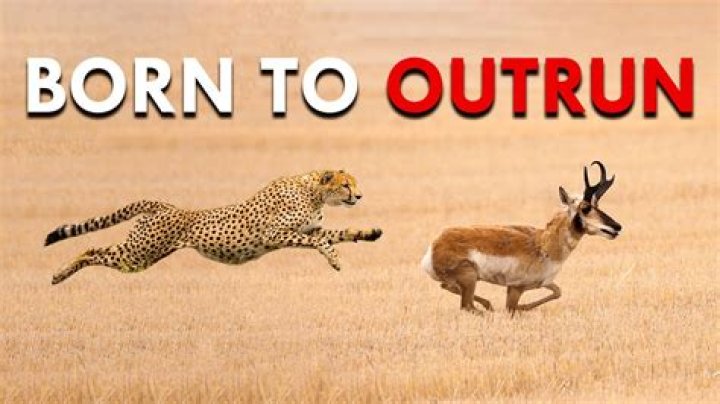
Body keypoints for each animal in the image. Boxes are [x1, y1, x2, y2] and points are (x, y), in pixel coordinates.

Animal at [420, 161, 622, 315]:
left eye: (598, 205)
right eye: (586, 207)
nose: (617, 227)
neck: (543, 244)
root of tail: (435, 244)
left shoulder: (543, 282)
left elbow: (558, 291)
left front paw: (523, 307)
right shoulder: (515, 288)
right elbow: (511, 308)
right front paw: (520, 308)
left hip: (468, 279)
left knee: (448, 288)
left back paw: (488, 305)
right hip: (470, 277)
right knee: (466, 305)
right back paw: (488, 310)